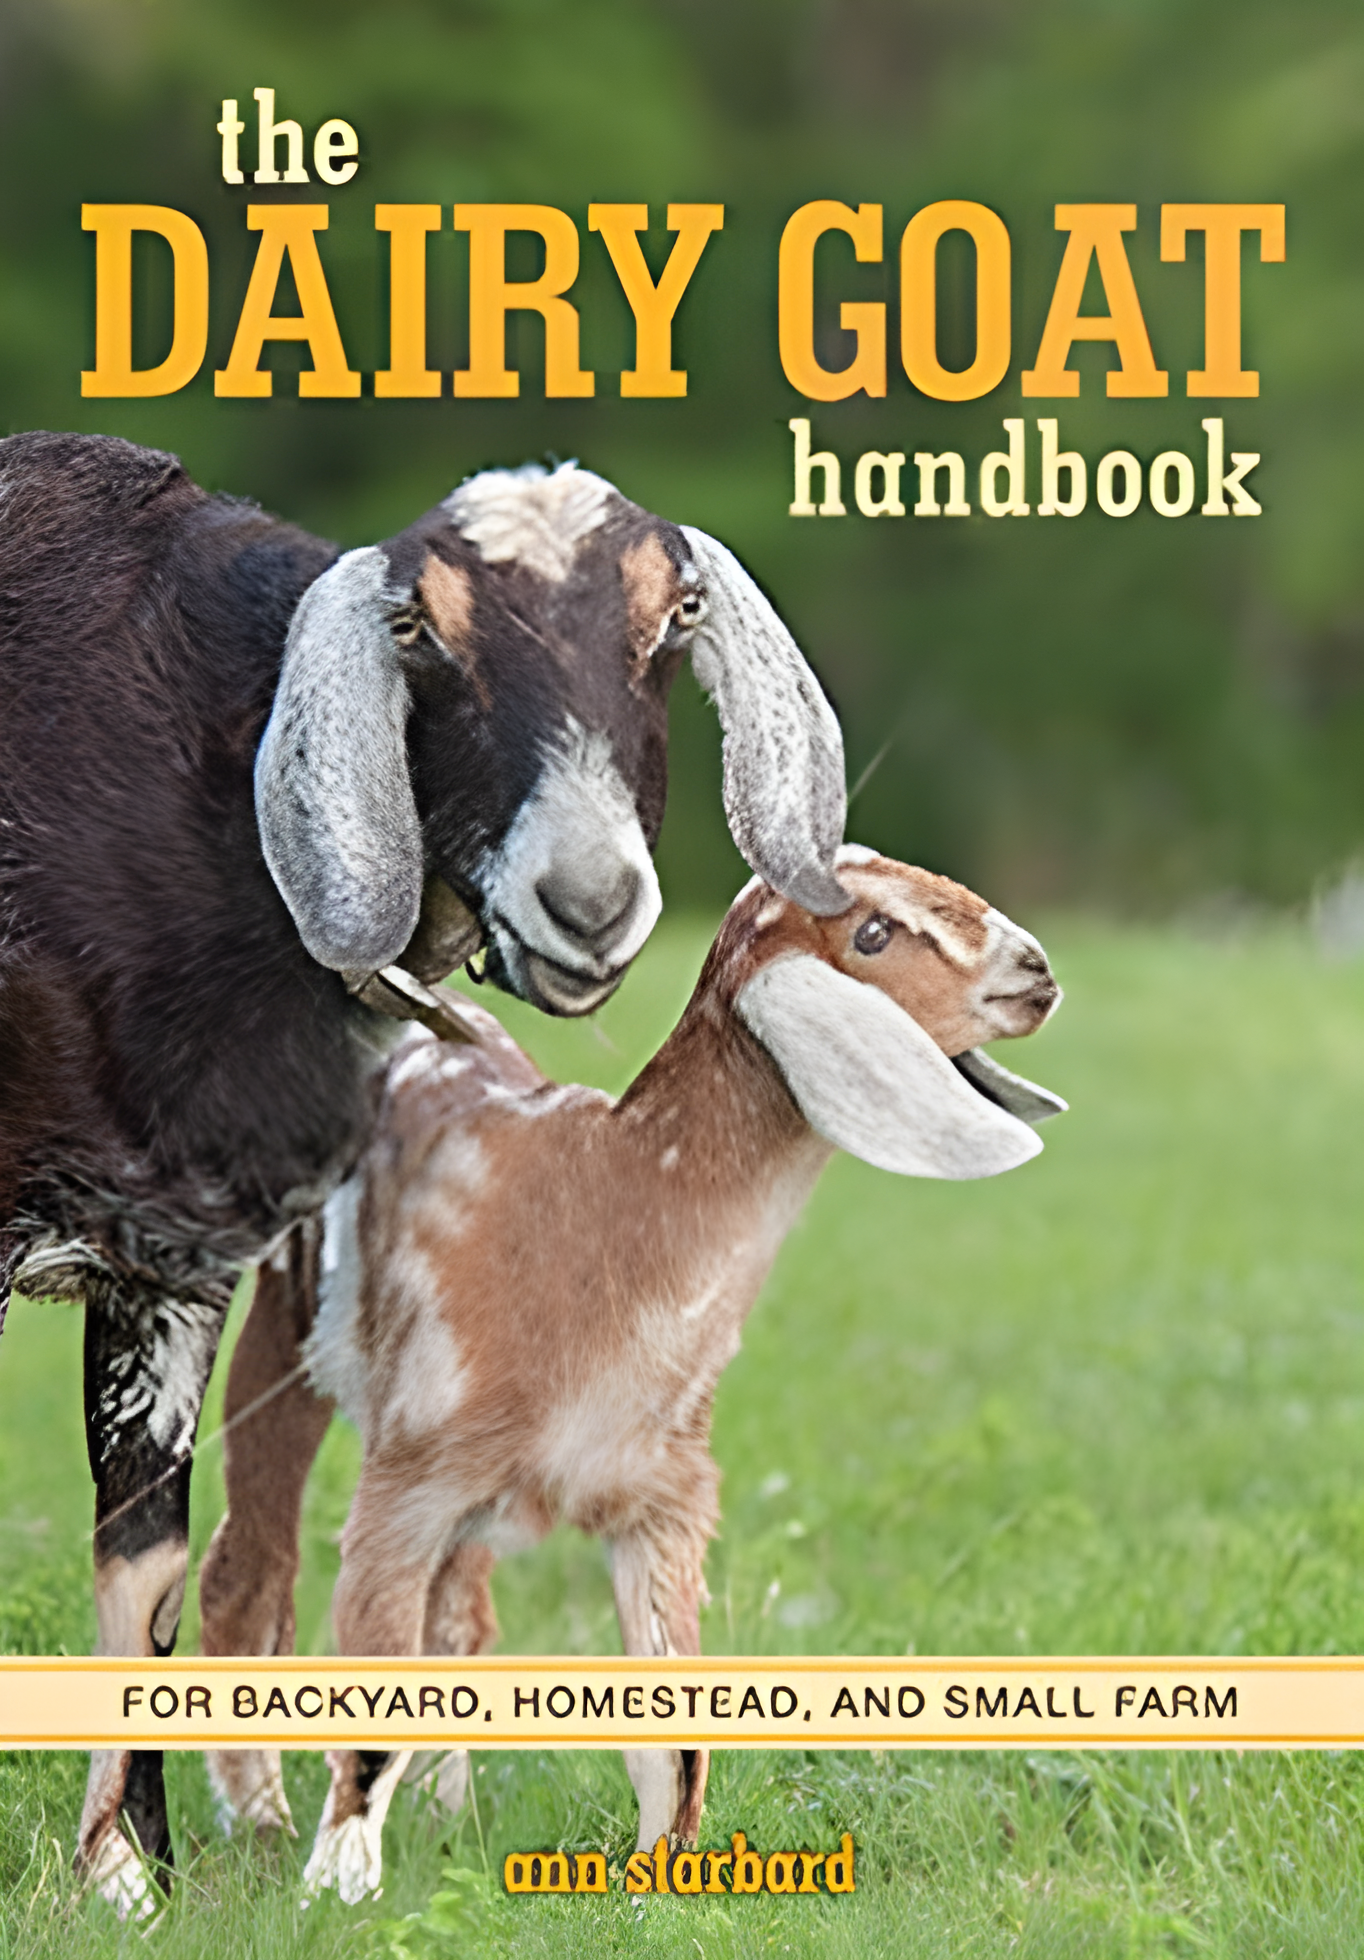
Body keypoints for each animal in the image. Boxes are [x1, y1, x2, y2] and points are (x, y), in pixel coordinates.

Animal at [0, 432, 847, 1914]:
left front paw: (127, 1873)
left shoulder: (169, 1254)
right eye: (418, 632)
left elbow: (142, 1559)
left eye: (673, 615)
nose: (588, 904)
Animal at [210, 846, 1063, 1902]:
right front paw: (339, 1886)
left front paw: (665, 1877)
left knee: (459, 1619)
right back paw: (260, 1823)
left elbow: (675, 1732)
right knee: (248, 1575)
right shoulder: (407, 1483)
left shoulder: (664, 1500)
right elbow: (373, 1699)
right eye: (871, 932)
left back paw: (448, 1820)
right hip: (286, 1339)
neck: (600, 1209)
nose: (1036, 973)